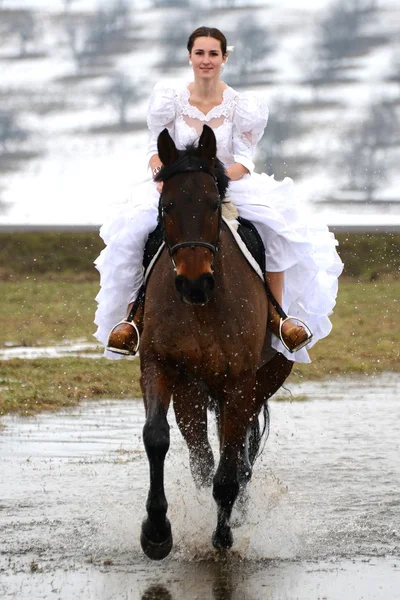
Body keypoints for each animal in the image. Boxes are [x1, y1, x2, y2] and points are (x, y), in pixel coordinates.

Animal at [139, 124, 292, 560]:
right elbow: (156, 437)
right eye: (167, 206)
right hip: (194, 392)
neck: (204, 309)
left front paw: (223, 537)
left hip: (258, 383)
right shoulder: (161, 365)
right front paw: (157, 531)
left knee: (238, 459)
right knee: (203, 459)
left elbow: (230, 470)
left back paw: (234, 518)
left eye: (211, 204)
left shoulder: (241, 382)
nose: (194, 283)